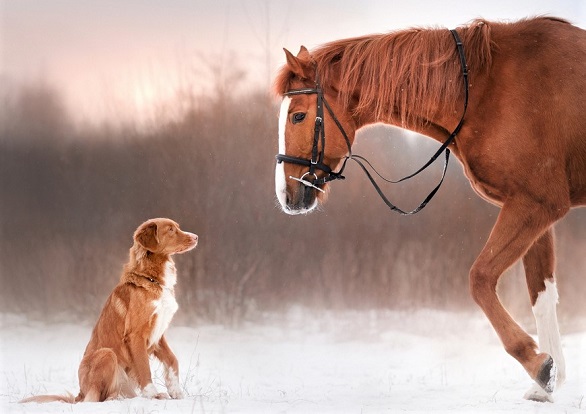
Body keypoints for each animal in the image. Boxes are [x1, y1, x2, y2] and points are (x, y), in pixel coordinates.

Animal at [21, 218, 197, 402]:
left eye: (176, 227)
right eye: (170, 230)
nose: (196, 237)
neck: (151, 279)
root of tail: (80, 393)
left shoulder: (158, 335)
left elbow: (172, 359)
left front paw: (175, 390)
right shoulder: (136, 335)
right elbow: (144, 367)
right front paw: (151, 394)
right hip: (107, 354)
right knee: (97, 398)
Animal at [274, 17, 584, 402]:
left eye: (299, 116)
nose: (287, 194)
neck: (484, 88)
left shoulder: (535, 205)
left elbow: (480, 279)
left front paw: (537, 364)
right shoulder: (535, 211)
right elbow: (541, 295)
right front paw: (548, 380)